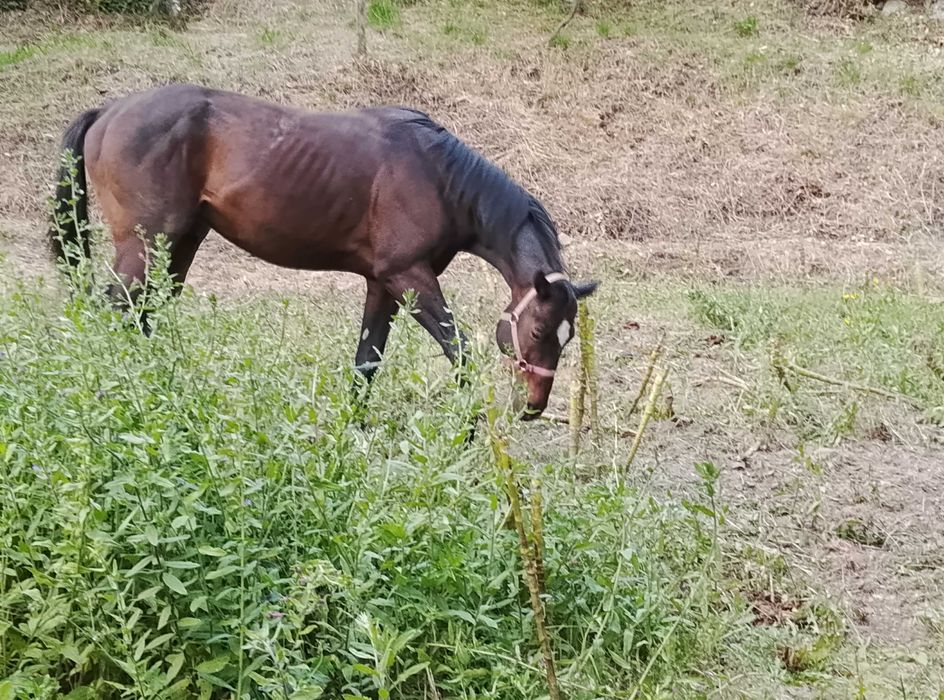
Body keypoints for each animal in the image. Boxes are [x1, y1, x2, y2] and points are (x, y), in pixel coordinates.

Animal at [48, 83, 598, 419]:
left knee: (142, 317)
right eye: (538, 330)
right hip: (143, 248)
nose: (535, 405)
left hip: (177, 247)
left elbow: (366, 362)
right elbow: (459, 353)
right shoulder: (410, 278)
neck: (439, 176)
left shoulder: (383, 284)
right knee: (114, 312)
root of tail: (108, 112)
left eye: (568, 337)